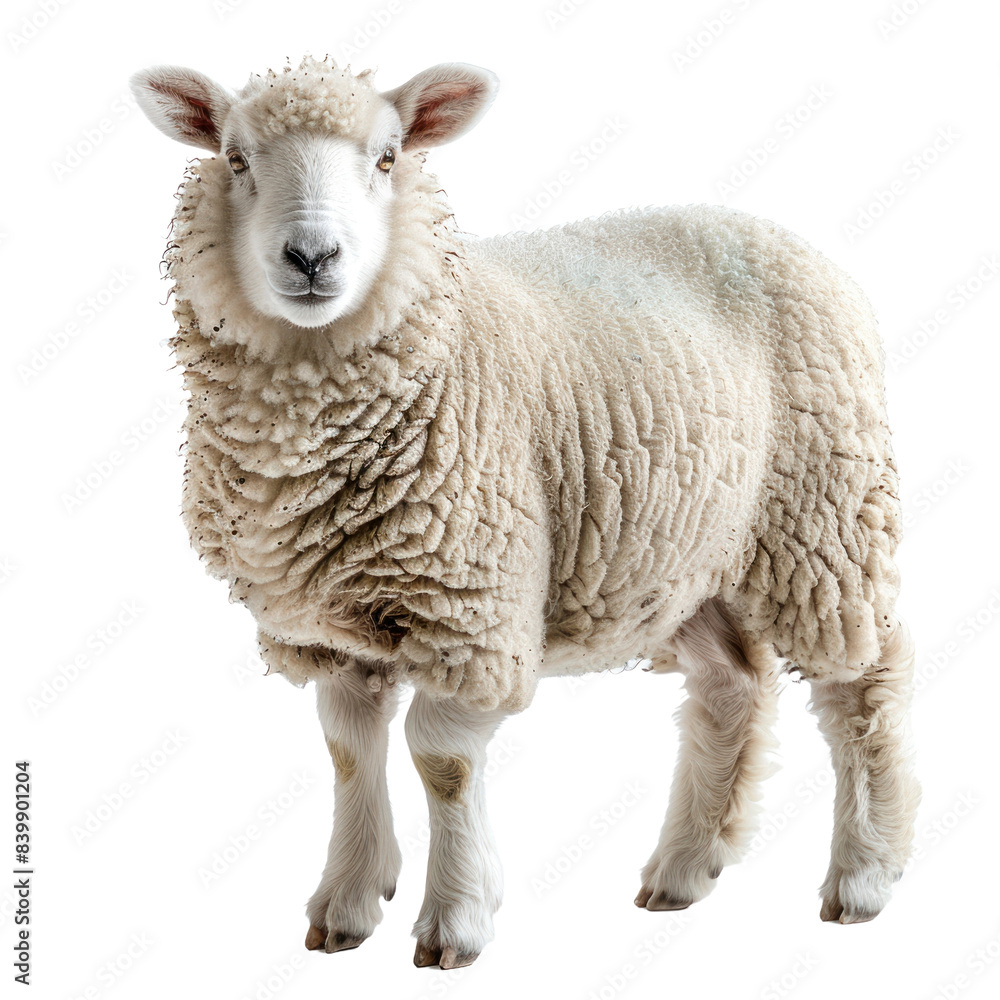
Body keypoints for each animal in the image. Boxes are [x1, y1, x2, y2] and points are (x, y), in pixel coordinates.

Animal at [130, 55, 920, 968]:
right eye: (235, 158)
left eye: (389, 158)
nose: (312, 256)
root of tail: (783, 235)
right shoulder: (328, 624)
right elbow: (347, 750)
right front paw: (349, 904)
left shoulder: (475, 608)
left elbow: (441, 759)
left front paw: (456, 919)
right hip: (682, 551)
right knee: (732, 685)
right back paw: (683, 871)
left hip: (825, 520)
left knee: (864, 686)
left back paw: (863, 876)